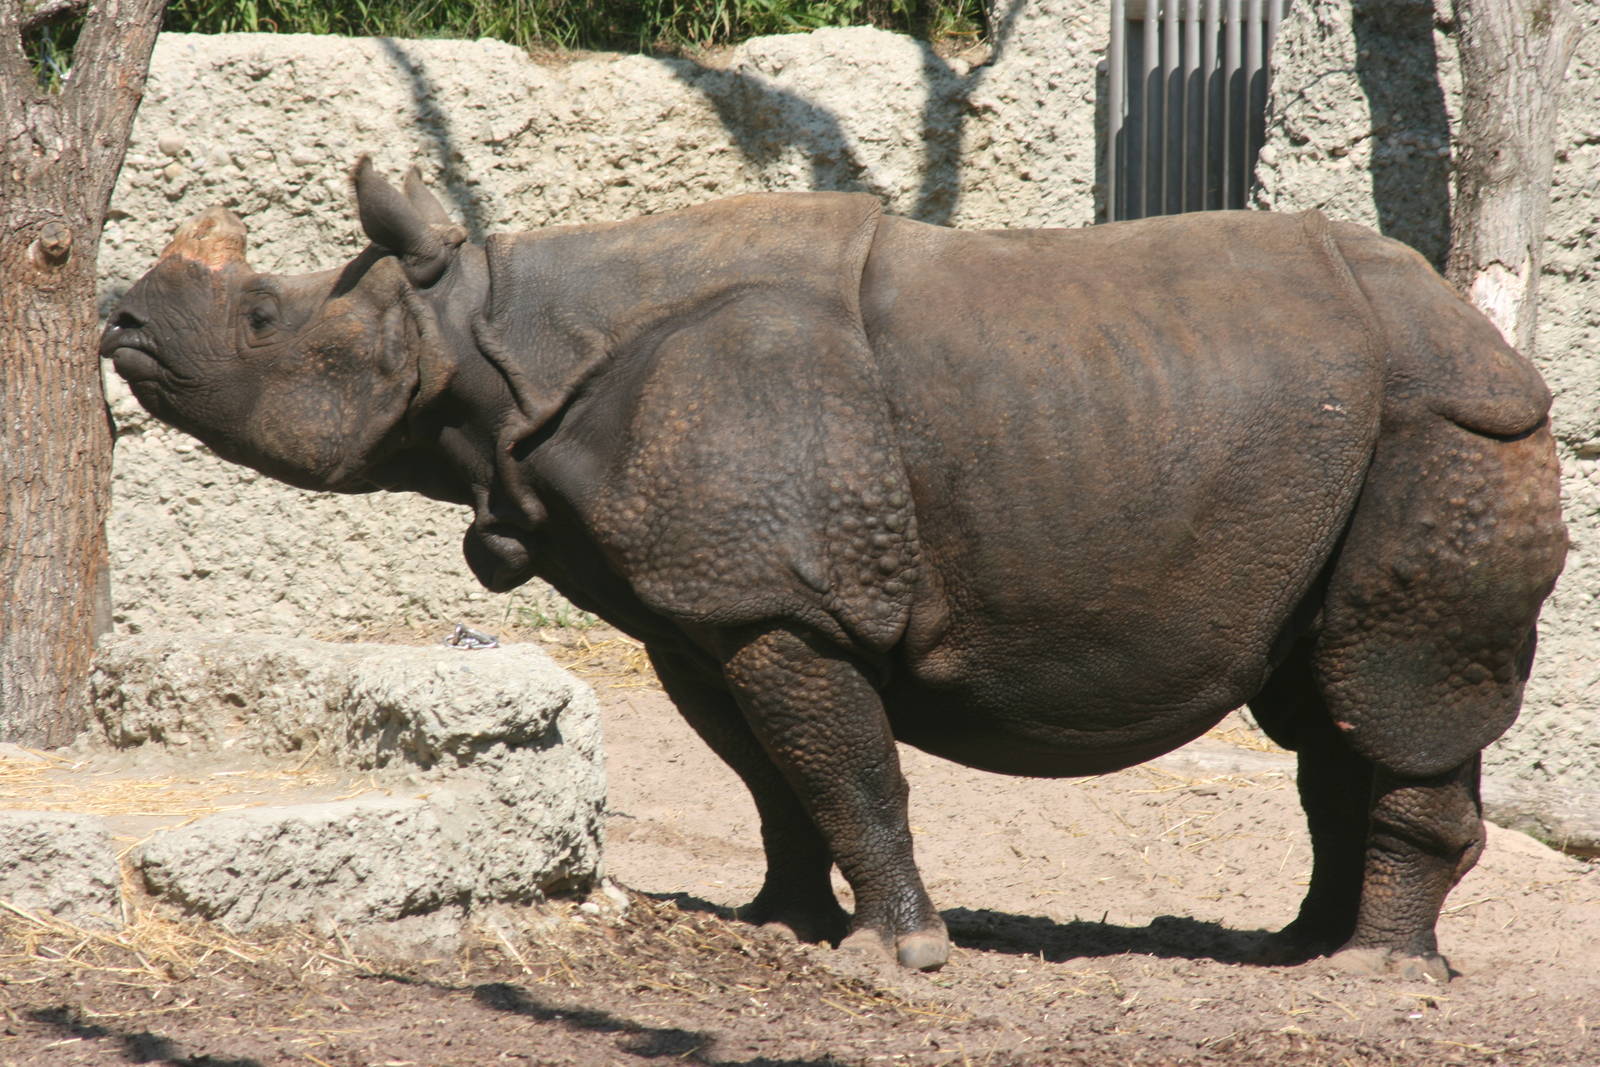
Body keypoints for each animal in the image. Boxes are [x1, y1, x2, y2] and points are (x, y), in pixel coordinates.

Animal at [103, 159, 1565, 979]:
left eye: (262, 315)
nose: (118, 318)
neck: (490, 333)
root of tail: (1496, 345)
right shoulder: (711, 604)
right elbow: (772, 774)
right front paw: (779, 922)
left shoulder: (782, 596)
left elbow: (848, 766)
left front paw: (900, 957)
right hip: (1353, 431)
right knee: (1326, 706)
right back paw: (1297, 945)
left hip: (1447, 425)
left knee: (1392, 685)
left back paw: (1371, 978)